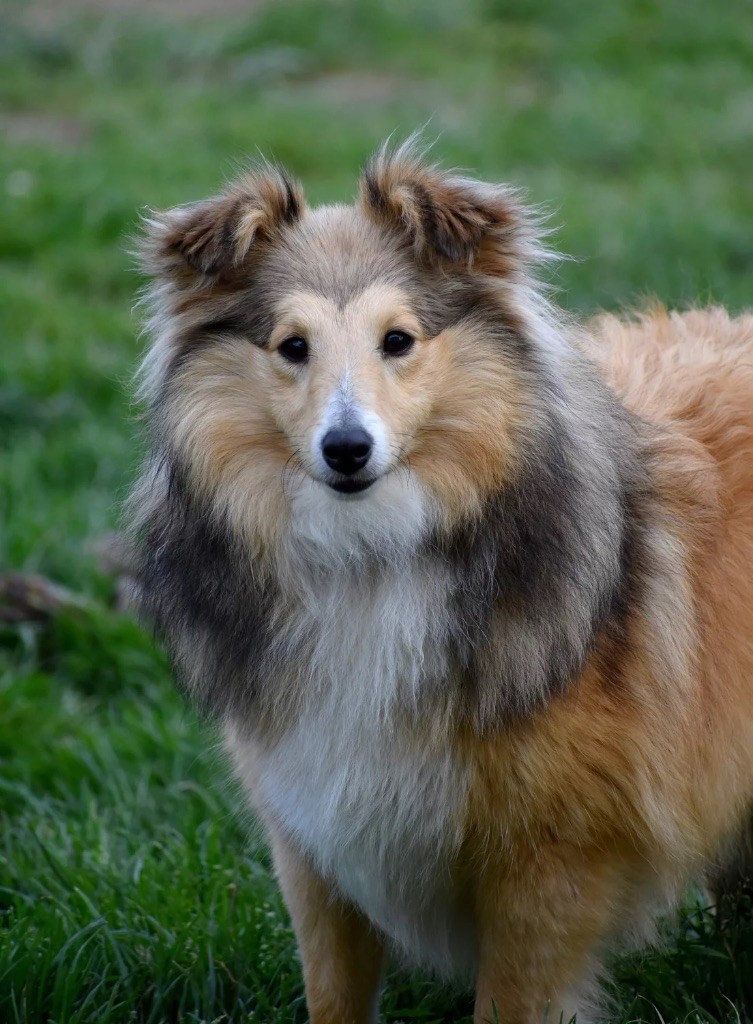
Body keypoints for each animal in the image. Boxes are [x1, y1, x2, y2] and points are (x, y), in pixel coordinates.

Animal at [129, 144, 753, 1024]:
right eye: (291, 346)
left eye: (398, 340)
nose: (346, 449)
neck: (368, 557)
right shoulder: (315, 844)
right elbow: (333, 996)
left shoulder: (550, 867)